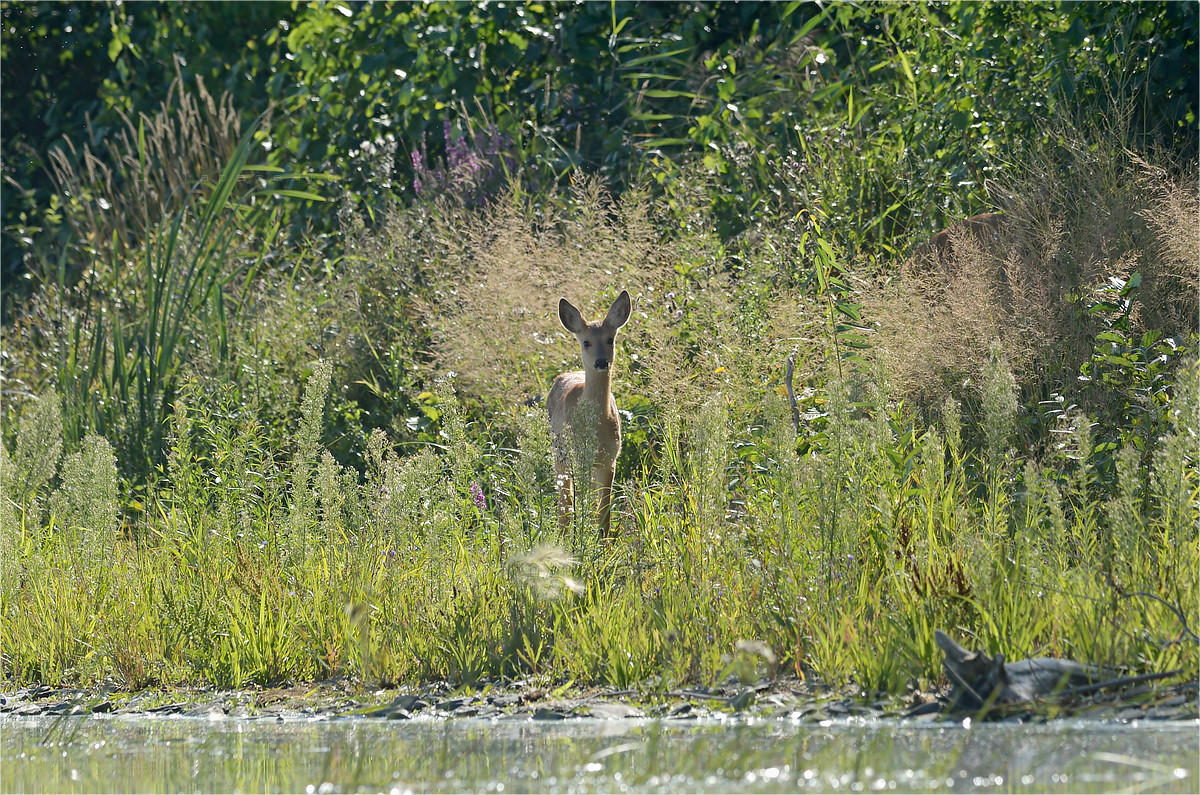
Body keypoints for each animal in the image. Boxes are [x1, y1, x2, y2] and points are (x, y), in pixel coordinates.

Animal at [549, 289, 633, 538]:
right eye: (586, 341)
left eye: (610, 339)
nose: (601, 361)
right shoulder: (579, 458)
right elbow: (580, 505)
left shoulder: (610, 458)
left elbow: (604, 515)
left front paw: (603, 544)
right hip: (560, 454)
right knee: (565, 503)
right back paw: (564, 536)